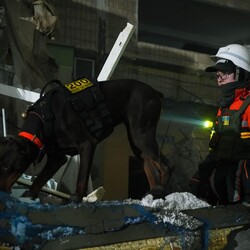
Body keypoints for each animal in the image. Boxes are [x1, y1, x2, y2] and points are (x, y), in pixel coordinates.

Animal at [0, 79, 171, 202]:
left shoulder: (87, 144)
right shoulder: (56, 158)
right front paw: (30, 193)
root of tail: (155, 93)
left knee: (165, 165)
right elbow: (40, 179)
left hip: (141, 134)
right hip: (137, 142)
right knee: (150, 165)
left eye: (7, 166)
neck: (44, 117)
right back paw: (152, 195)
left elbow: (82, 176)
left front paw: (76, 196)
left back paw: (160, 189)